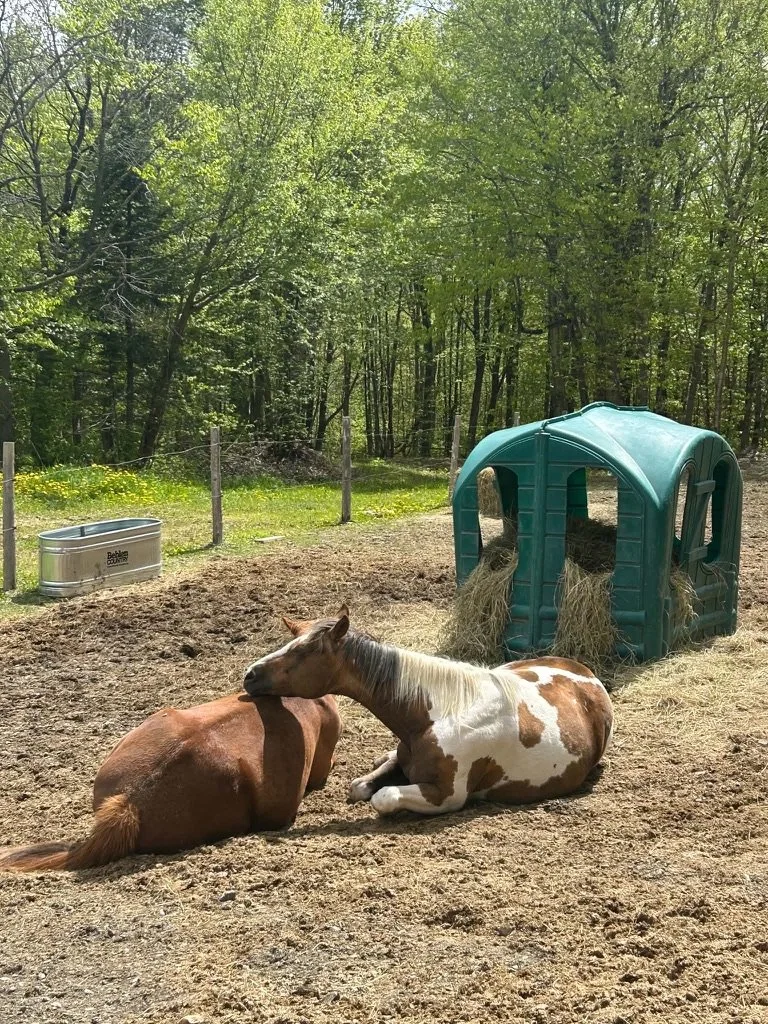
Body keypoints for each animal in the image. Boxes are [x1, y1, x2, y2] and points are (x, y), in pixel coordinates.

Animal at [243, 606, 613, 816]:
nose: (250, 674)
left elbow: (383, 797)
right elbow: (361, 786)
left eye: (305, 652)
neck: (434, 717)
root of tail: (584, 671)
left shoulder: (446, 797)